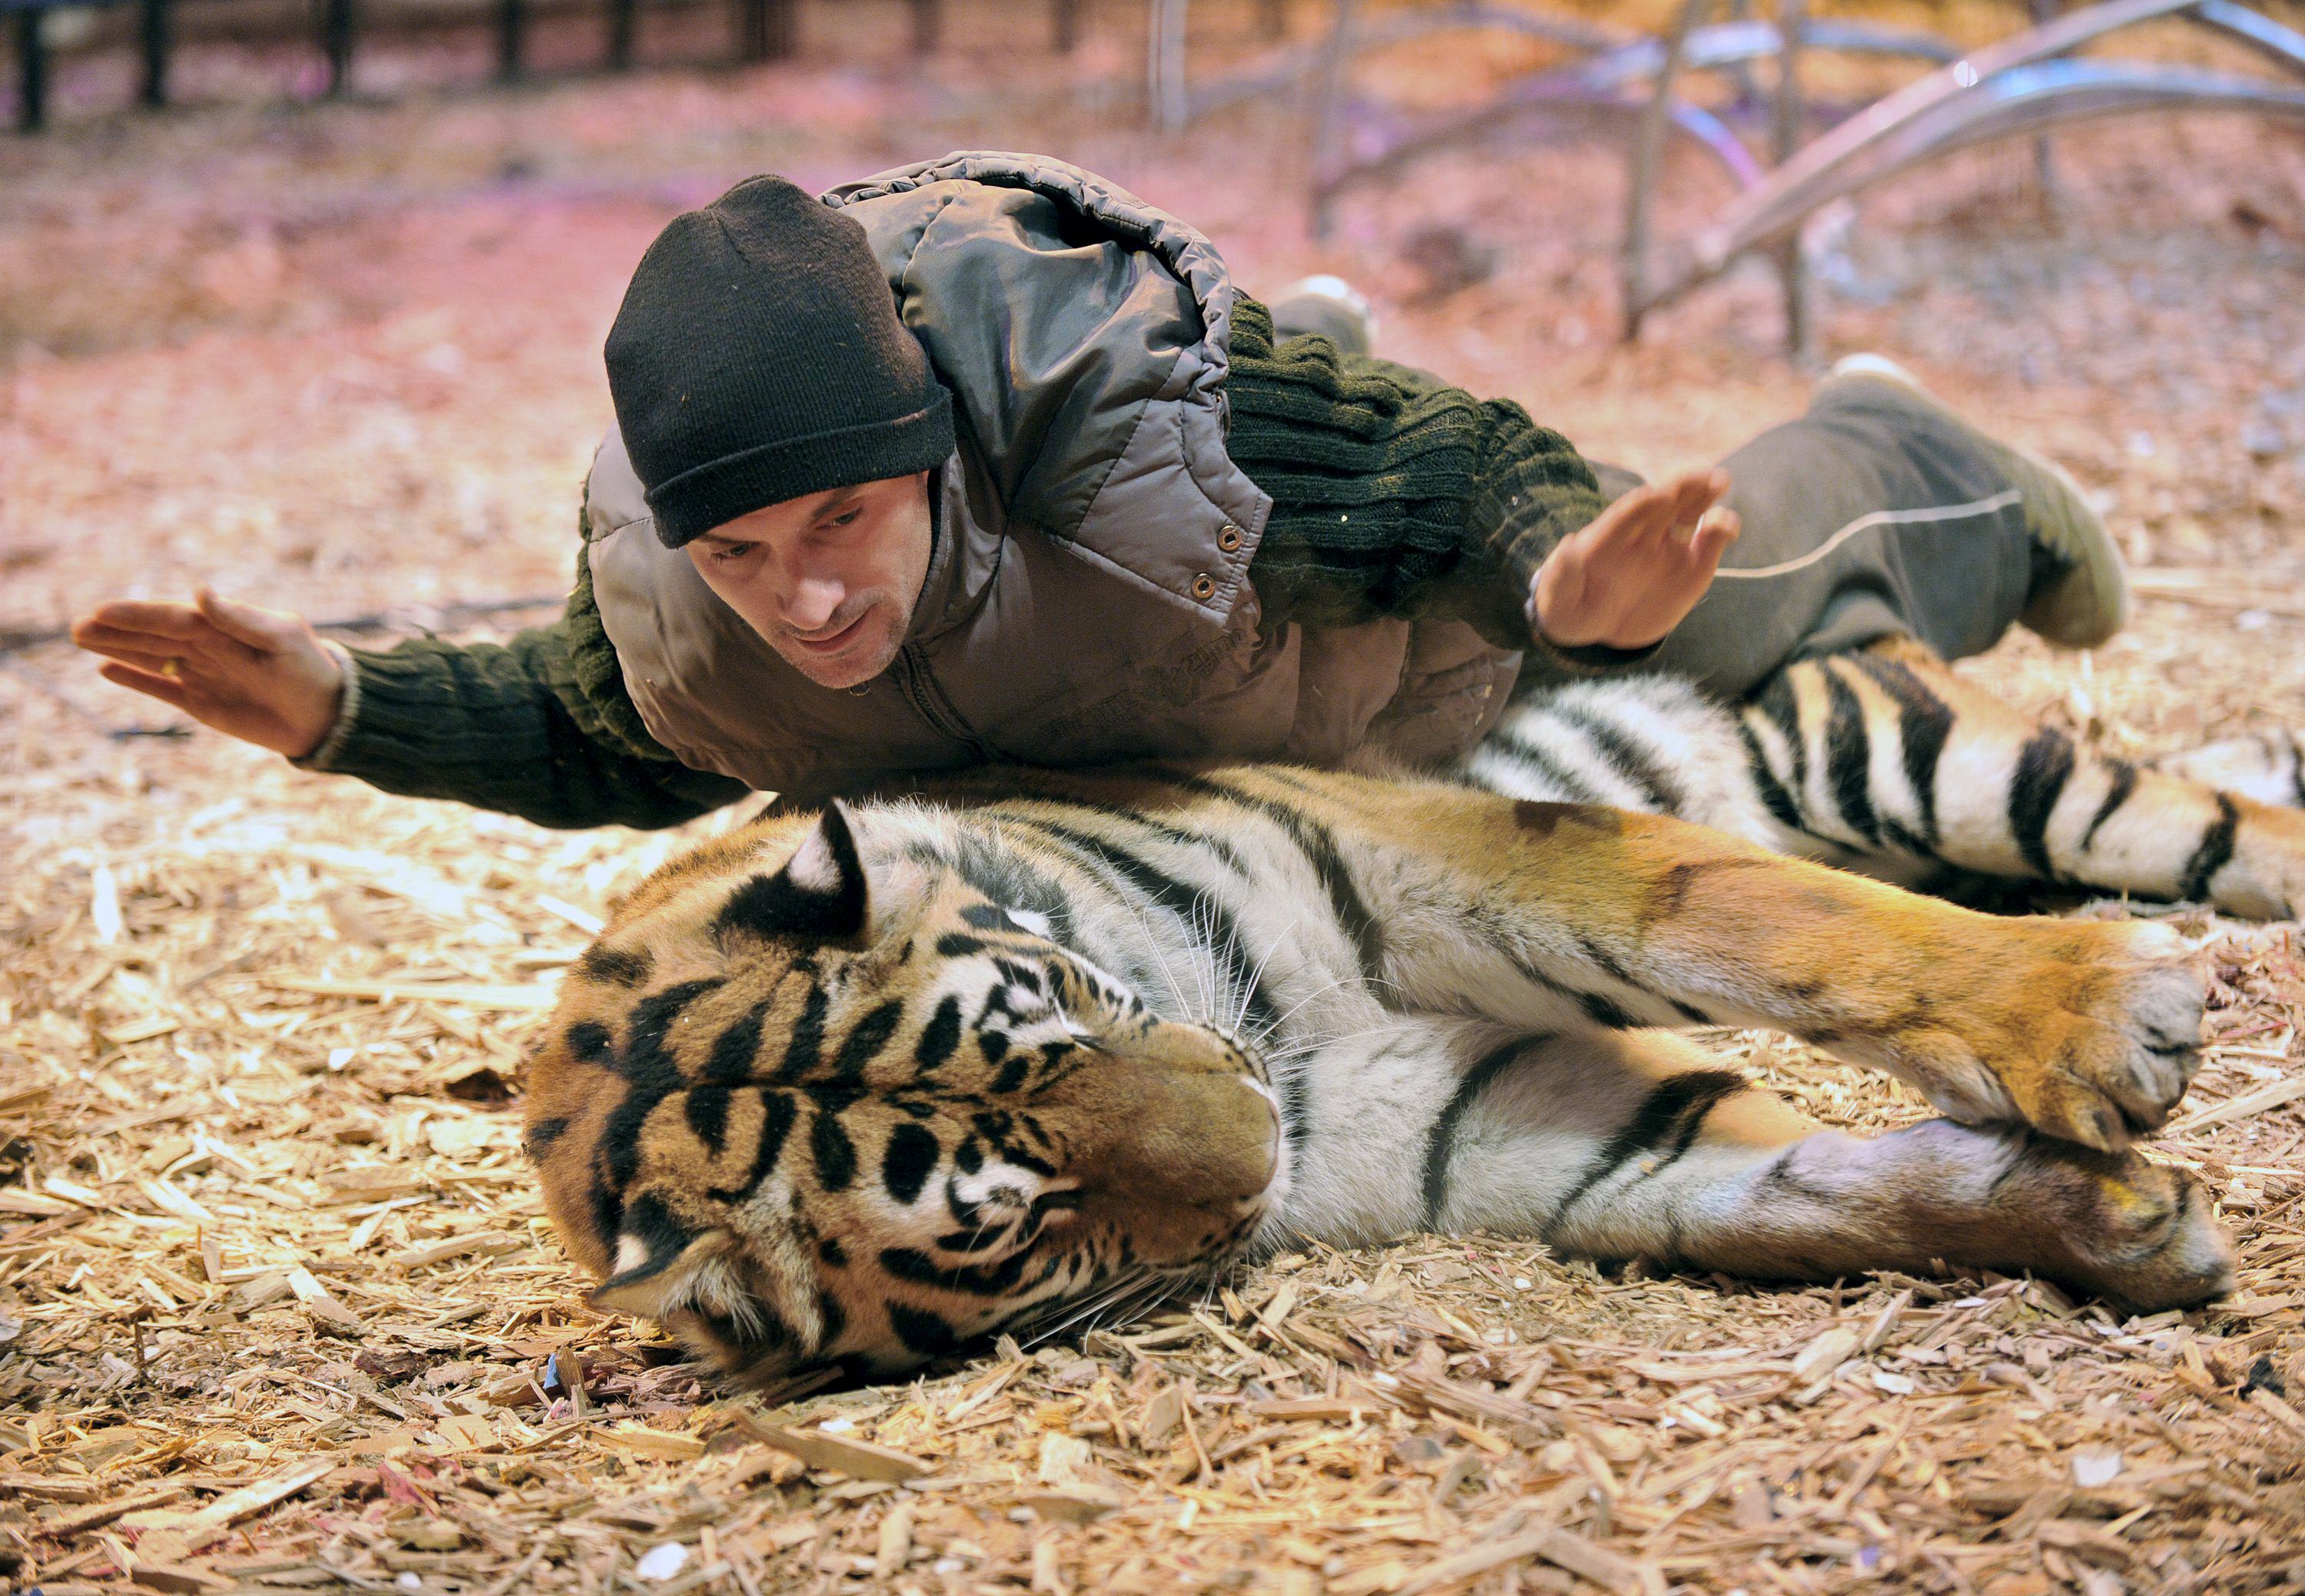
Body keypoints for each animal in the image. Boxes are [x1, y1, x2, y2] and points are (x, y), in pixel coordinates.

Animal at [523, 632, 2287, 1392]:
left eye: (1065, 1007)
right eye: (1026, 1225)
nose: (1259, 1146)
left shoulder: (1429, 847)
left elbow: (1747, 914)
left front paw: (2097, 1014)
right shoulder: (1523, 1125)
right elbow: (1796, 1191)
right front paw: (2112, 1224)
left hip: (1927, 759)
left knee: (2208, 819)